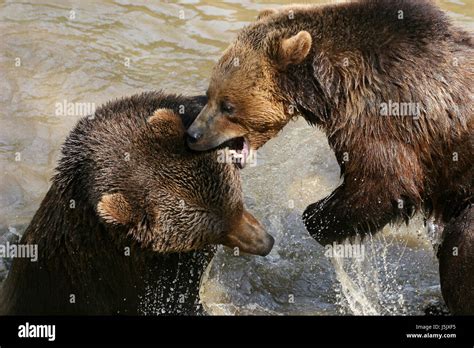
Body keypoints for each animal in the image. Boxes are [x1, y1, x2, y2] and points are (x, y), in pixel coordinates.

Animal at [185, 0, 474, 314]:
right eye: (209, 94)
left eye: (228, 106)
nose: (193, 134)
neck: (332, 87)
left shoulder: (387, 116)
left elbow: (384, 183)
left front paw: (315, 217)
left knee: (460, 246)